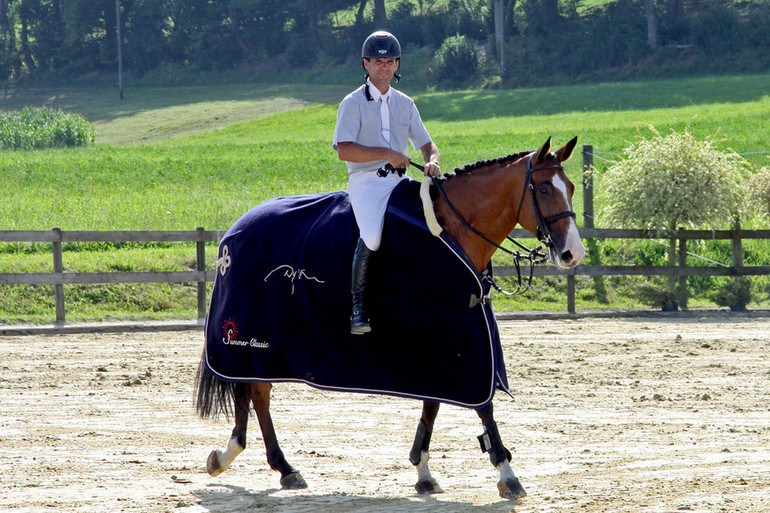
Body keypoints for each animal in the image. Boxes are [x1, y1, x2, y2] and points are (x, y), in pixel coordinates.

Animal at [196, 138, 584, 498]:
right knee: (253, 391)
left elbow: (432, 403)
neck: (448, 229)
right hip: (251, 342)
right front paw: (506, 472)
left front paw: (423, 471)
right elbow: (483, 406)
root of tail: (235, 230)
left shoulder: (443, 344)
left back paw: (269, 464)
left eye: (571, 187)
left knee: (255, 392)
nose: (573, 253)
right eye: (544, 188)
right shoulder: (462, 342)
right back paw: (248, 458)